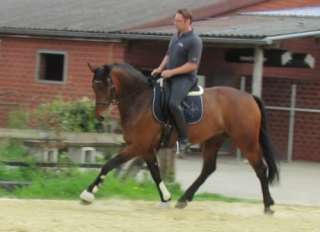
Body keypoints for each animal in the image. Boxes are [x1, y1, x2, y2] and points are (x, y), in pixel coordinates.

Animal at [81, 62, 278, 214]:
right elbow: (155, 173)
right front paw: (166, 199)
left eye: (106, 85)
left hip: (247, 142)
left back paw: (268, 206)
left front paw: (88, 194)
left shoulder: (138, 146)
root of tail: (249, 97)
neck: (139, 100)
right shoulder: (146, 149)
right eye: (94, 86)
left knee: (261, 169)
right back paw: (183, 199)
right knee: (208, 169)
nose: (100, 116)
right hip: (214, 140)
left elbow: (109, 164)